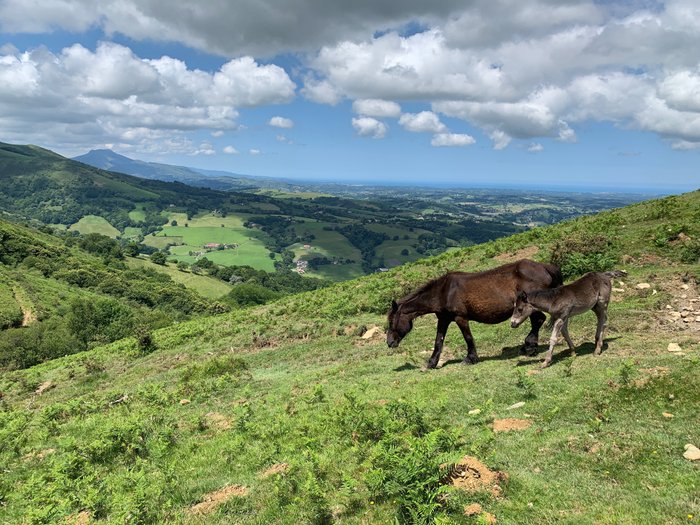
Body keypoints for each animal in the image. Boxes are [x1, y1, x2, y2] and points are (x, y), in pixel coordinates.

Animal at [386, 258, 560, 368]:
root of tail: (545, 267)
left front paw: (470, 358)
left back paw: (529, 347)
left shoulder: (460, 318)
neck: (444, 292)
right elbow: (438, 341)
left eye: (391, 322)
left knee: (538, 320)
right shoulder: (443, 319)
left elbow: (468, 338)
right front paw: (432, 362)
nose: (389, 343)